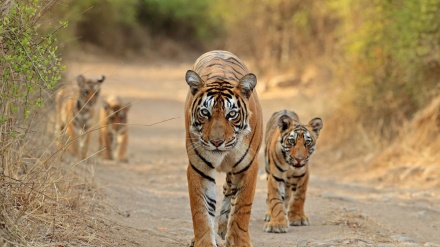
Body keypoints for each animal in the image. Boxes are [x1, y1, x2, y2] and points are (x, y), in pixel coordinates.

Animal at [185, 50, 262, 247]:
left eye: (232, 114)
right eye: (205, 113)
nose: (216, 142)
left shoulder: (248, 167)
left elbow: (242, 207)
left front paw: (239, 242)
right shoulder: (199, 168)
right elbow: (201, 210)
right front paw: (204, 242)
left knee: (230, 191)